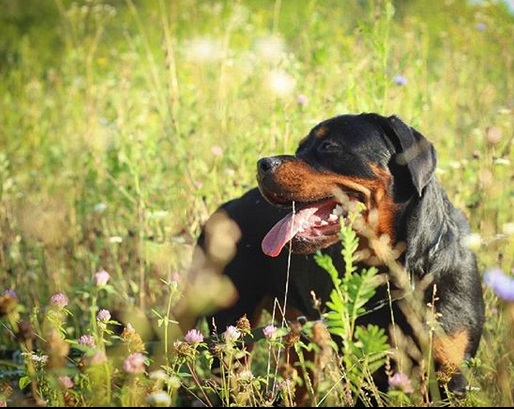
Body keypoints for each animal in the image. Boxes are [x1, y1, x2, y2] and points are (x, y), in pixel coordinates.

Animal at [176, 112, 484, 404]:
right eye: (300, 147)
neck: (400, 272)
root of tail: (222, 211)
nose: (262, 164)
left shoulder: (450, 376)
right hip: (231, 335)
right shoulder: (366, 374)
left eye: (329, 146)